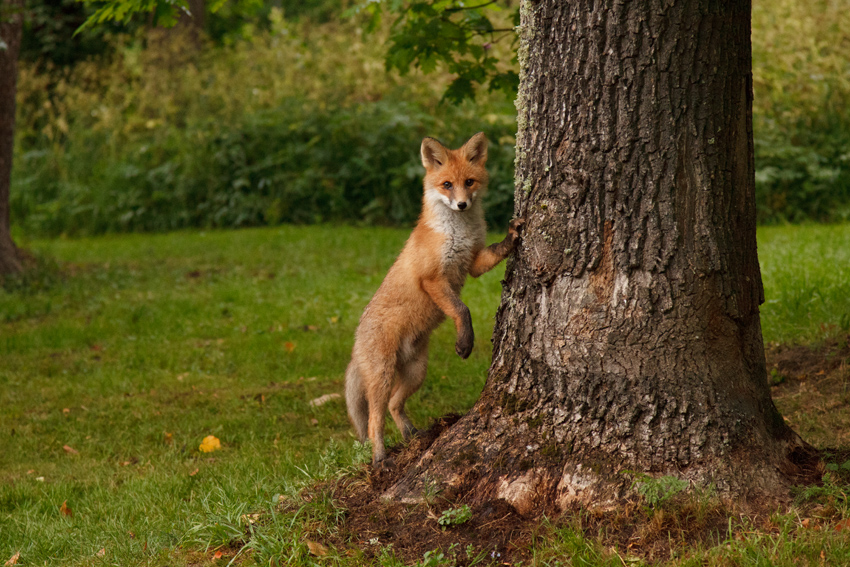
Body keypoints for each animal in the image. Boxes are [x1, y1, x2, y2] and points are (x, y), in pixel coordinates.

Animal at [344, 132, 524, 466]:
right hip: (383, 375)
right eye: (447, 185)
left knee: (394, 405)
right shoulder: (432, 279)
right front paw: (465, 343)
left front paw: (511, 237)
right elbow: (462, 309)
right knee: (375, 420)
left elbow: (494, 251)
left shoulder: (473, 262)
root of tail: (356, 338)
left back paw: (411, 435)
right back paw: (380, 458)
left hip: (416, 372)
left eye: (469, 182)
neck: (457, 233)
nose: (462, 204)